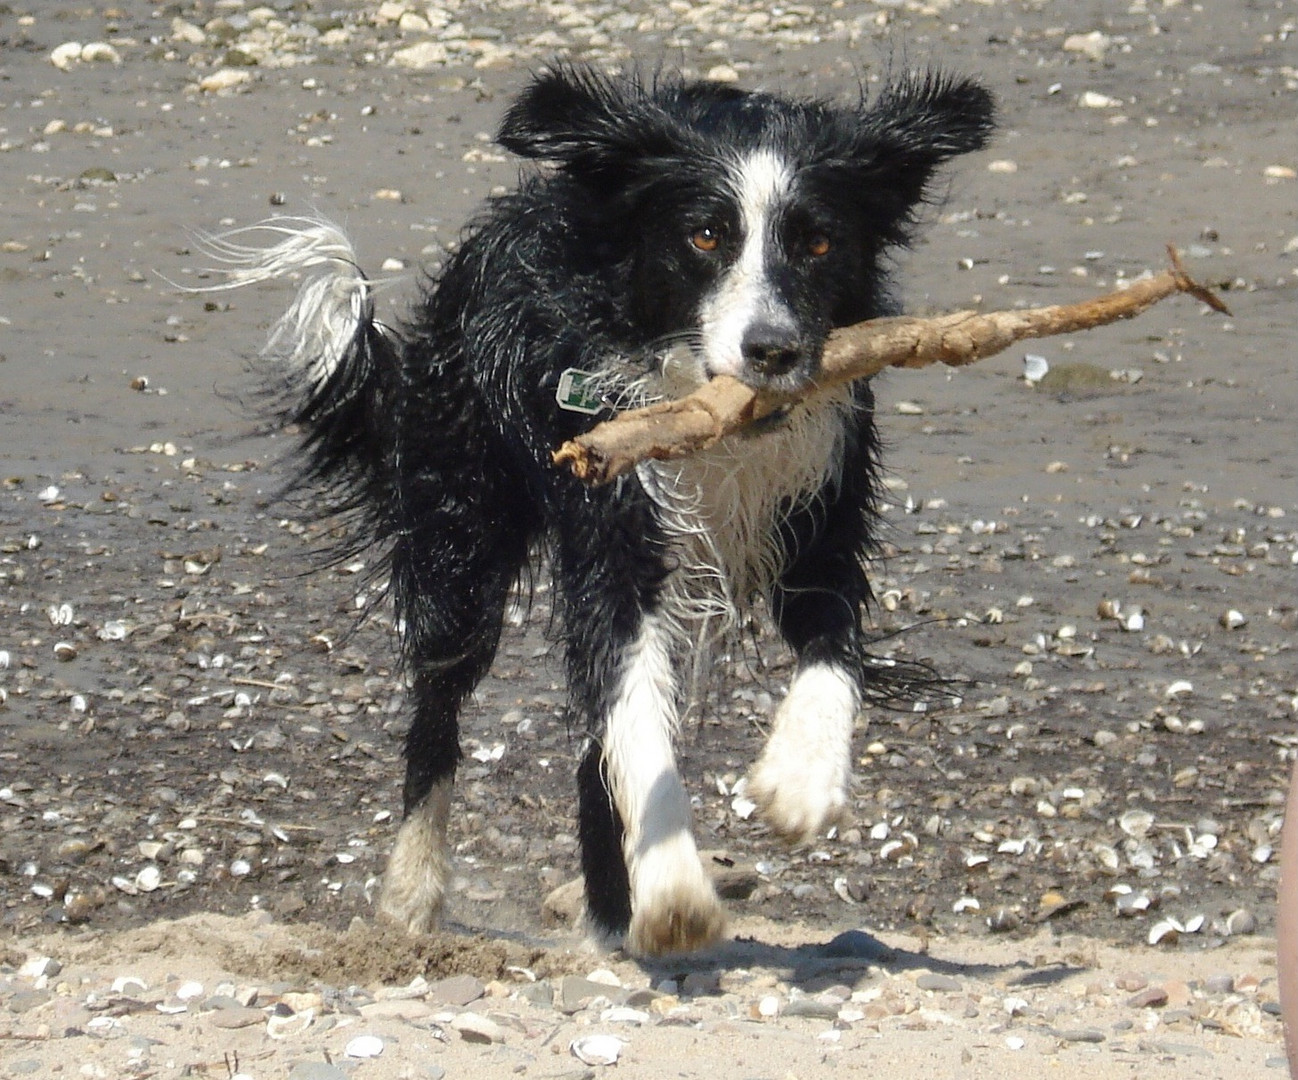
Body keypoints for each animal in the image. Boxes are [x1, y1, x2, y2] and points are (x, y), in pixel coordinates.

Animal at [207, 65, 986, 955]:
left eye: (819, 242)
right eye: (706, 236)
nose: (774, 350)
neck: (709, 424)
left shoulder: (822, 513)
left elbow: (833, 654)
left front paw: (800, 781)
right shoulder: (612, 538)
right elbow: (634, 719)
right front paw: (678, 891)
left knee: (592, 752)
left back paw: (612, 919)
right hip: (460, 539)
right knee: (440, 714)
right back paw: (410, 897)